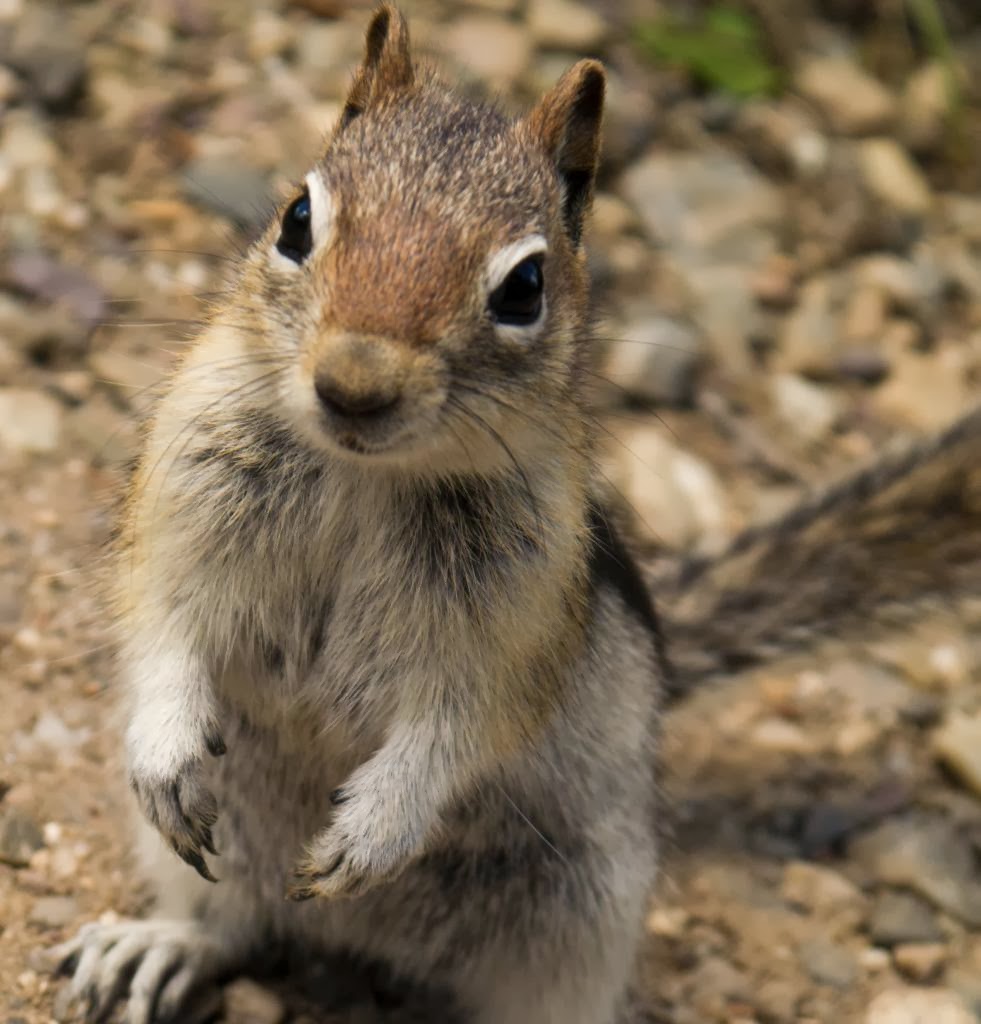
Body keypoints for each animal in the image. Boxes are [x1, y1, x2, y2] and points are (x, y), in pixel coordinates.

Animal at [48, 8, 981, 1024]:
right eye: (297, 220)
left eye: (524, 288)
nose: (354, 384)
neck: (365, 476)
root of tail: (363, 939)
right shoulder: (181, 507)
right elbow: (163, 631)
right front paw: (162, 754)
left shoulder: (513, 626)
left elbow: (456, 728)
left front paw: (374, 831)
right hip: (237, 843)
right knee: (231, 920)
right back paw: (159, 946)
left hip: (582, 914)